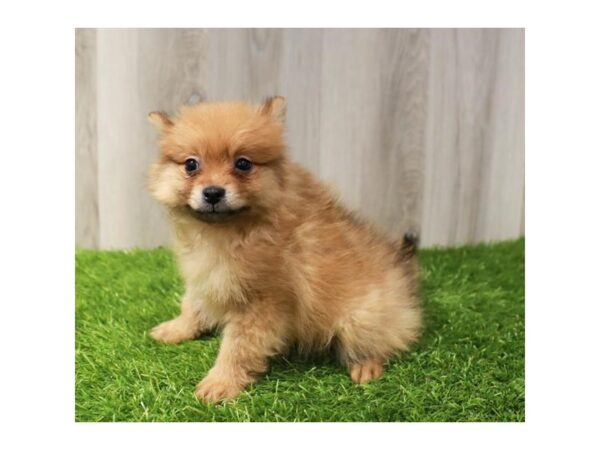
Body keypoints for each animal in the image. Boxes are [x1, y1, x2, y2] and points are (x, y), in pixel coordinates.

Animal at [148, 96, 422, 402]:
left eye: (243, 163)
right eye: (191, 165)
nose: (213, 192)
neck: (232, 230)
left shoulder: (263, 302)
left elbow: (238, 347)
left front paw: (221, 381)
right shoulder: (207, 278)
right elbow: (192, 305)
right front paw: (177, 328)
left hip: (361, 319)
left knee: (385, 339)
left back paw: (367, 365)